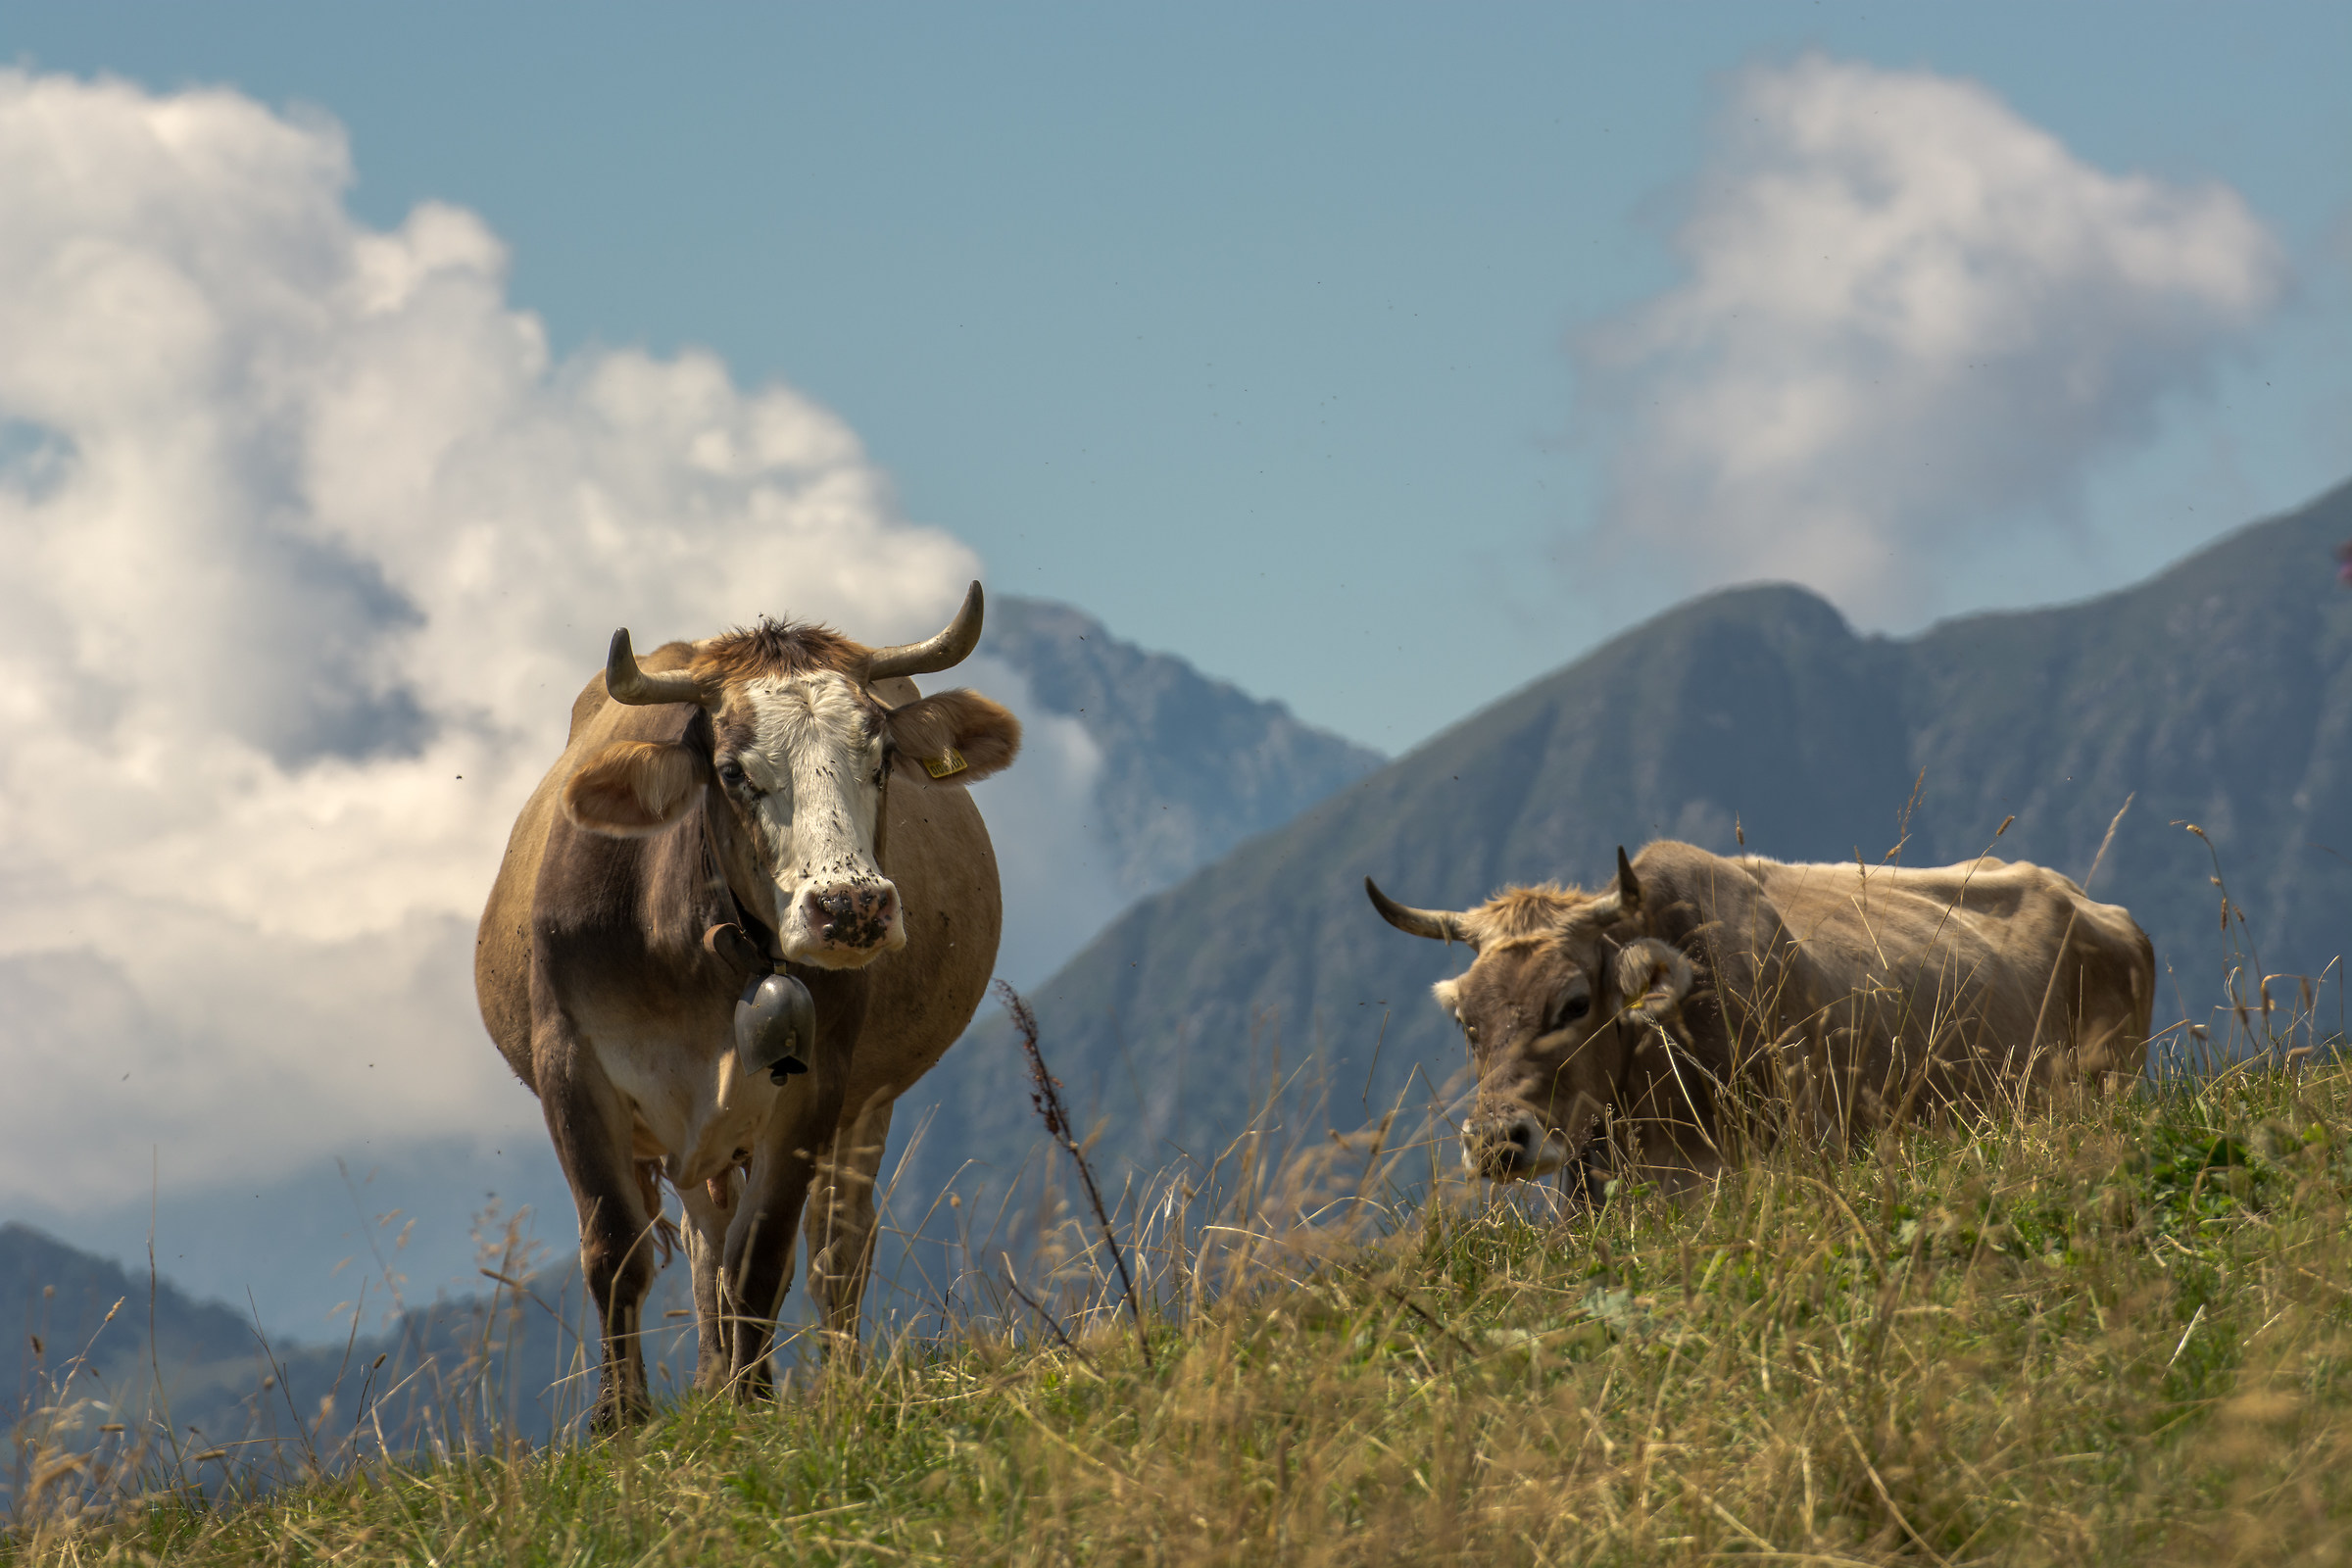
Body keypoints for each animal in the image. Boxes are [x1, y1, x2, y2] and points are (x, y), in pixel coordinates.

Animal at [476, 583, 1021, 1426]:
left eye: (882, 758)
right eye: (733, 772)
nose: (851, 907)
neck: (695, 947)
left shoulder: (817, 1086)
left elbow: (762, 1258)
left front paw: (754, 1402)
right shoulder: (570, 1068)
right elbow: (616, 1252)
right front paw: (619, 1420)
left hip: (865, 1106)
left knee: (833, 1252)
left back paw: (828, 1379)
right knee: (705, 1244)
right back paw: (705, 1380)